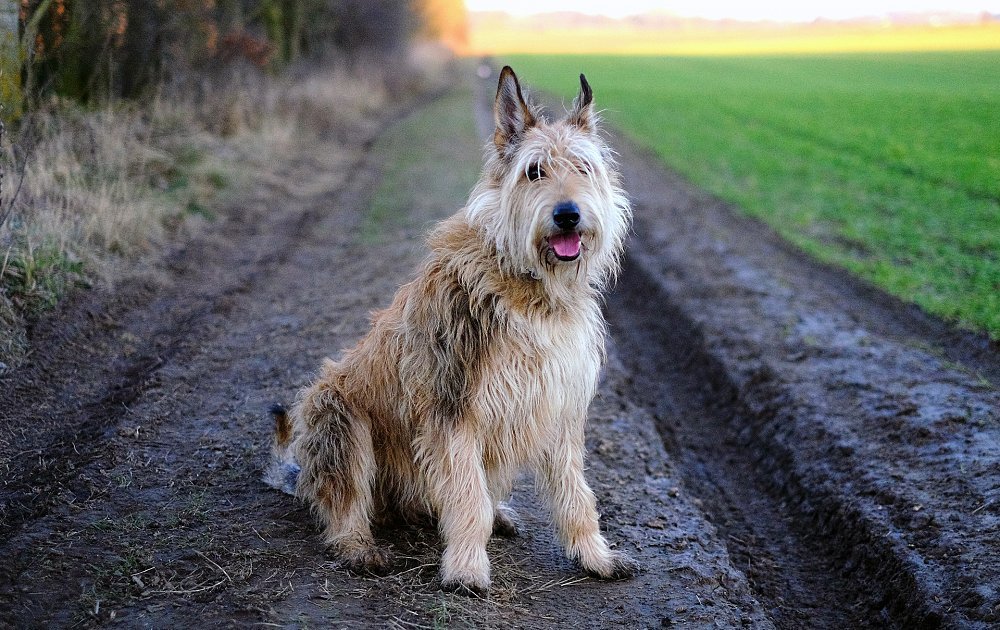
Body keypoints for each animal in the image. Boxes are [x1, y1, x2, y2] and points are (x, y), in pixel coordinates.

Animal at [266, 66, 636, 596]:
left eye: (583, 168)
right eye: (535, 171)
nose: (568, 214)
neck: (528, 285)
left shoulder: (559, 407)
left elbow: (576, 494)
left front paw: (595, 556)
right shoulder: (453, 411)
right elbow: (465, 498)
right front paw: (465, 568)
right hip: (339, 418)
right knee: (344, 505)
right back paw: (359, 547)